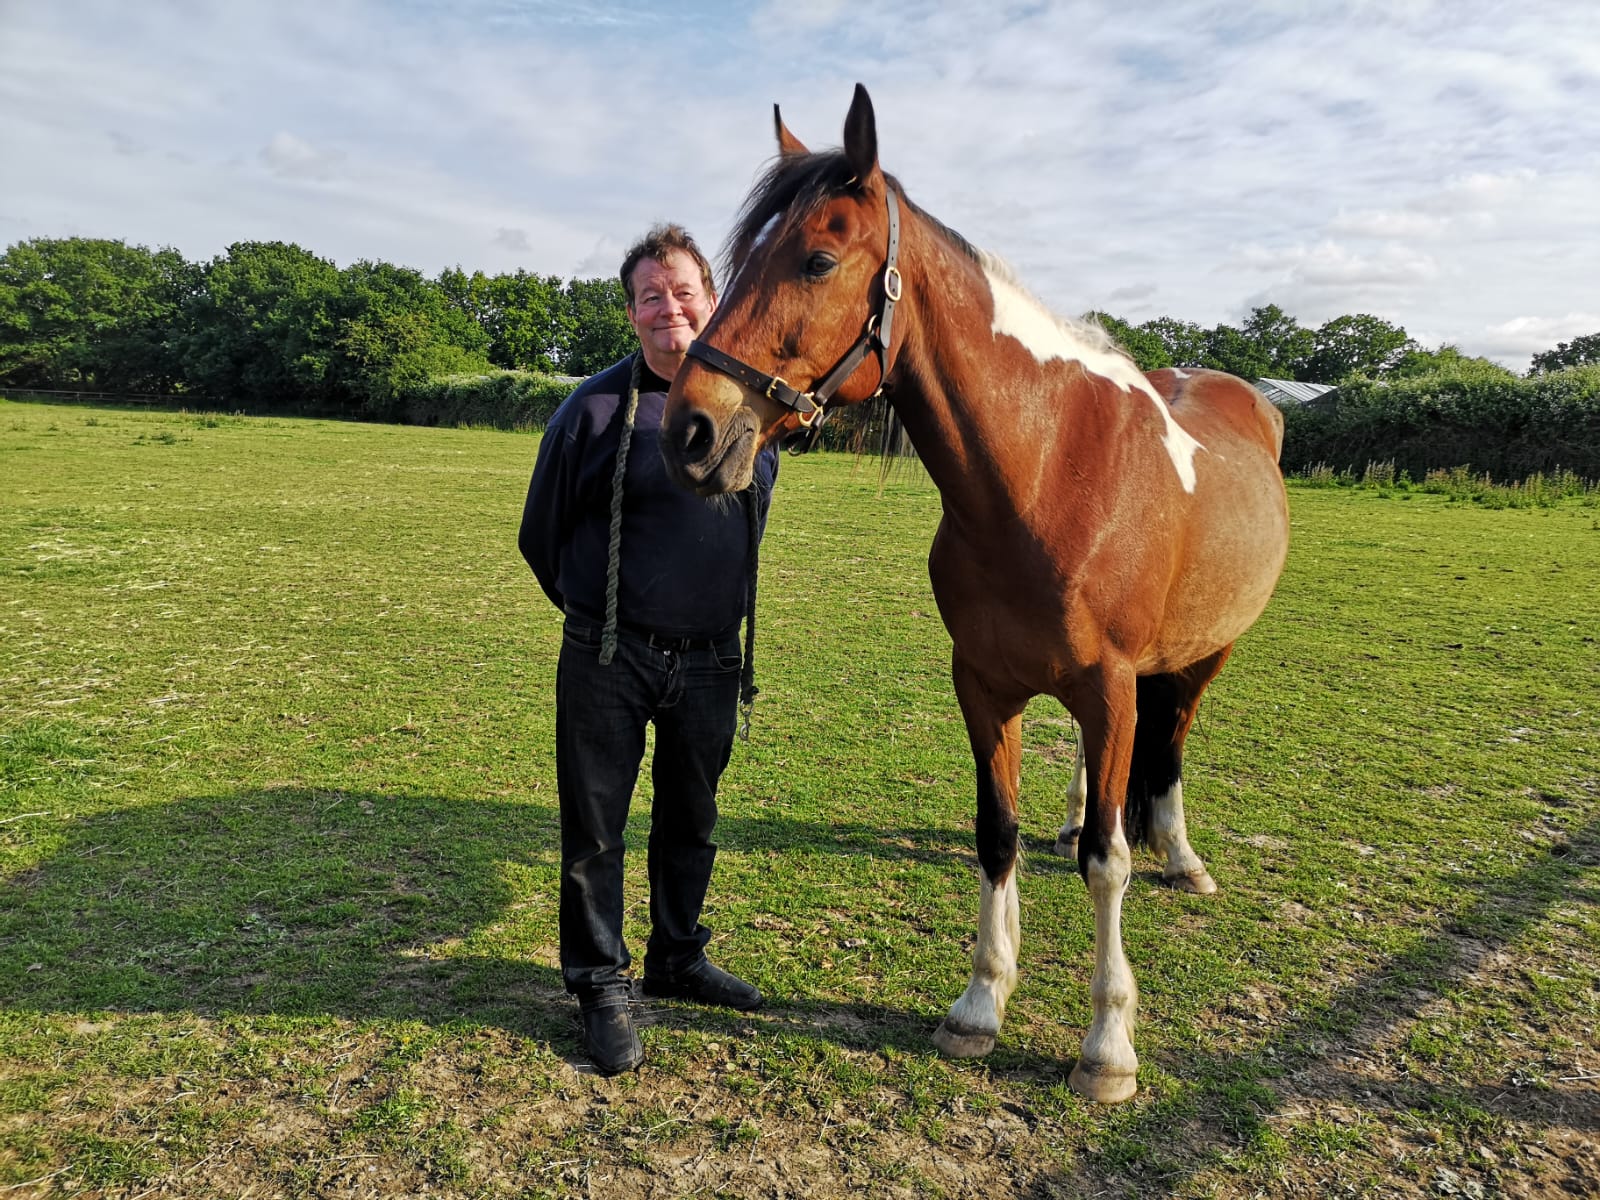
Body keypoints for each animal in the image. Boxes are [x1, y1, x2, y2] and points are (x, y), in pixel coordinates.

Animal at [660, 84, 1289, 1103]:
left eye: (818, 258)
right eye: (738, 260)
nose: (690, 430)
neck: (1047, 473)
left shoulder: (1112, 686)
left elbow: (1109, 860)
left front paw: (1107, 1045)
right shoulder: (986, 686)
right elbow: (998, 833)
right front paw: (980, 1005)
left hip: (1202, 656)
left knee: (1170, 749)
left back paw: (1184, 857)